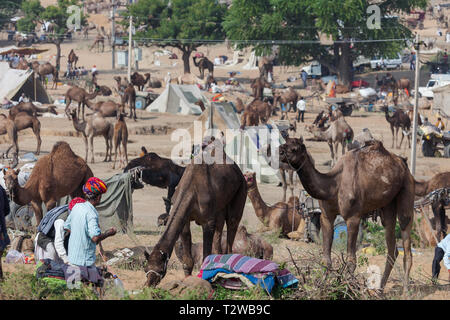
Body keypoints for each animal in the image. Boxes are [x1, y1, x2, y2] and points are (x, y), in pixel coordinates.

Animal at [144, 156, 248, 286]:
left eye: (161, 270)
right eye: (145, 269)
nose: (149, 284)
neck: (190, 190)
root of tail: (239, 172)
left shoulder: (208, 221)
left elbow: (205, 258)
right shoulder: (186, 220)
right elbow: (187, 261)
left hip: (241, 192)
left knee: (232, 225)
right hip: (220, 210)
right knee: (219, 233)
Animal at [282, 138, 414, 292]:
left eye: (295, 148)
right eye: (285, 143)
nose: (280, 151)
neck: (333, 185)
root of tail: (403, 163)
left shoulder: (353, 218)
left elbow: (351, 259)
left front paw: (348, 289)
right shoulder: (326, 216)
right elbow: (326, 258)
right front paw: (321, 287)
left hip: (406, 187)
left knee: (405, 232)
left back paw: (405, 291)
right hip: (388, 205)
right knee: (392, 246)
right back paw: (380, 290)